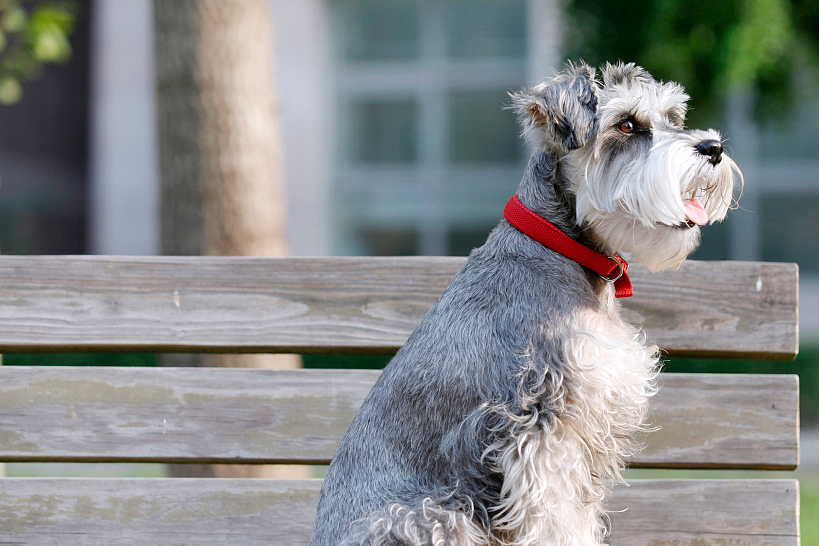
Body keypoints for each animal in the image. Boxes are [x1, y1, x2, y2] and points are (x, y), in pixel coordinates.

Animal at [310, 61, 744, 544]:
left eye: (673, 116)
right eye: (627, 125)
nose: (713, 147)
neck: (559, 248)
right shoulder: (542, 431)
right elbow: (558, 522)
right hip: (435, 517)